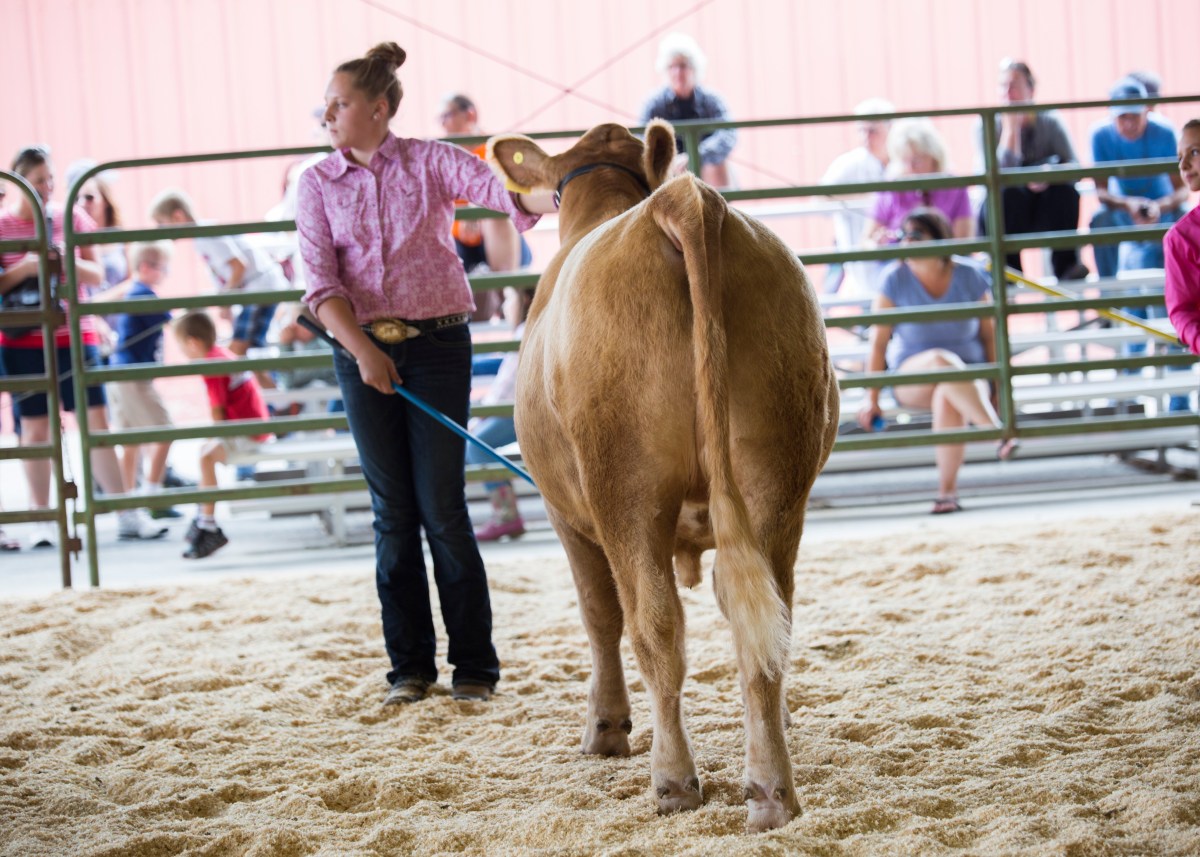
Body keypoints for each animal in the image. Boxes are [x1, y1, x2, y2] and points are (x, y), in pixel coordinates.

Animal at [487, 120, 839, 832]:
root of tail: (681, 201)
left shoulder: (565, 514)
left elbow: (599, 616)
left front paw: (605, 727)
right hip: (778, 476)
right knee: (765, 622)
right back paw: (771, 789)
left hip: (626, 487)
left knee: (654, 626)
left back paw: (674, 780)